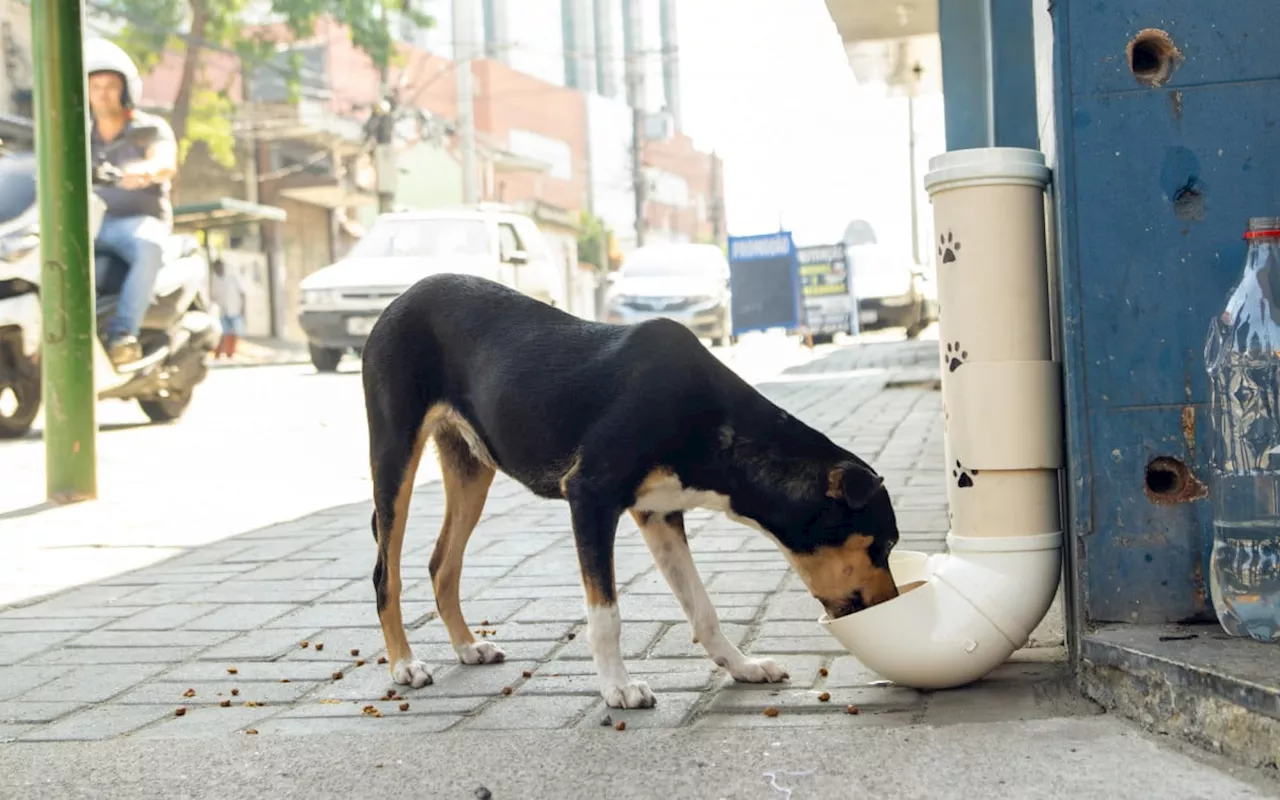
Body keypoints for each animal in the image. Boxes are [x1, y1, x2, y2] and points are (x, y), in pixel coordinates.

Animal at [360, 272, 901, 706]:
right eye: (883, 545)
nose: (892, 604)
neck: (710, 422)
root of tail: (403, 295)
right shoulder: (590, 498)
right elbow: (607, 615)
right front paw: (618, 687)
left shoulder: (659, 514)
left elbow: (702, 607)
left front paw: (742, 666)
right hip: (394, 454)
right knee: (387, 572)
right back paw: (404, 663)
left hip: (472, 468)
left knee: (442, 564)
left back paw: (467, 646)